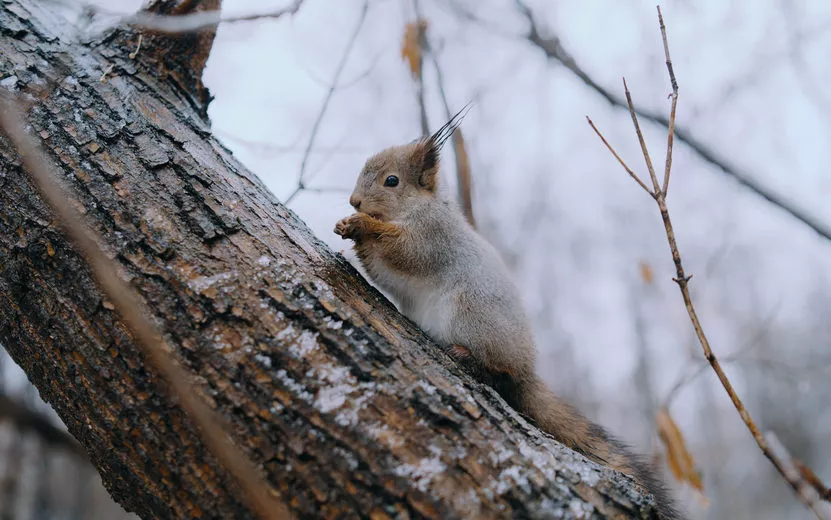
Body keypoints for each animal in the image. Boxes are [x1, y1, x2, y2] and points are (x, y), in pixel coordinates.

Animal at [334, 110, 684, 520]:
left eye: (392, 181)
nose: (354, 201)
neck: (419, 207)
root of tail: (526, 368)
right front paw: (346, 228)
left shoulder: (432, 237)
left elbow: (403, 252)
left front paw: (362, 225)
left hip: (470, 314)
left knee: (498, 372)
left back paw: (469, 357)